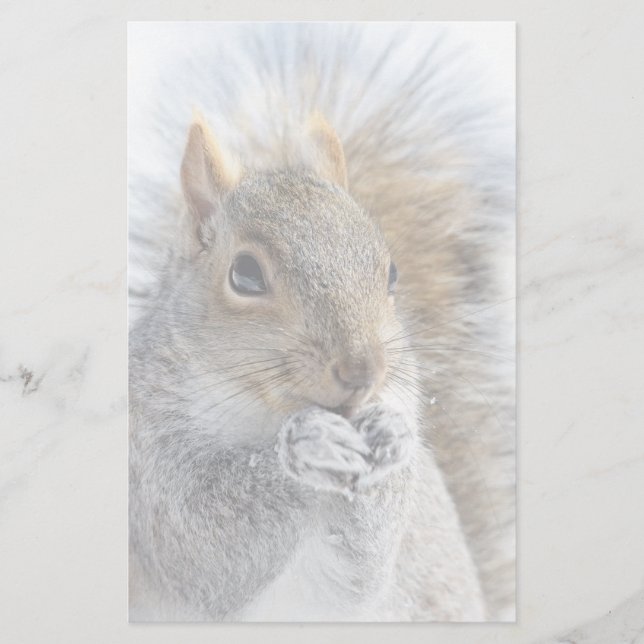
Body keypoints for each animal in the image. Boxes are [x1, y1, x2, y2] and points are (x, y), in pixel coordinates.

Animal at [129, 23, 515, 622]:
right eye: (245, 274)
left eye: (391, 272)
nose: (363, 371)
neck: (266, 414)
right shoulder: (150, 455)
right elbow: (203, 543)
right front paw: (307, 449)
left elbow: (365, 570)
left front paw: (392, 439)